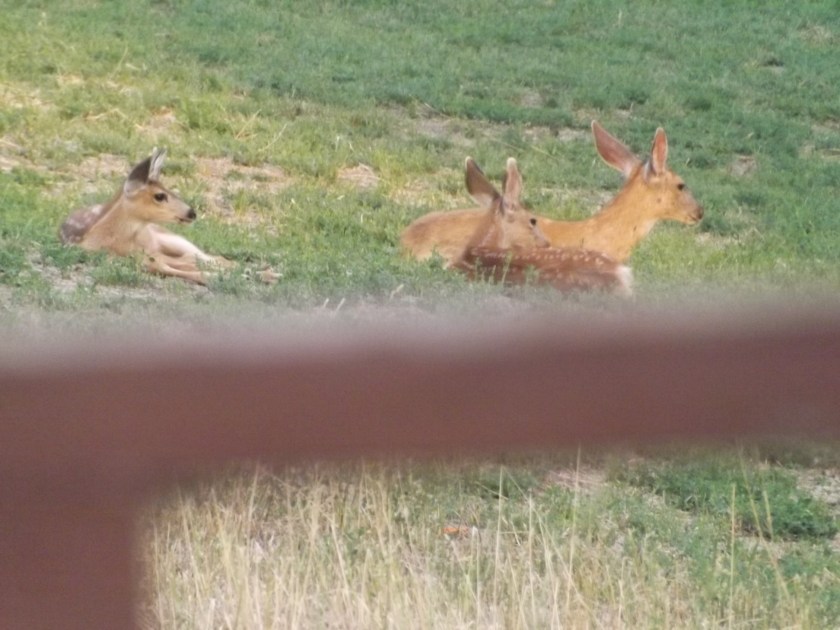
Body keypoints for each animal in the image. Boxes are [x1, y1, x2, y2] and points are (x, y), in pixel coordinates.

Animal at [59, 148, 232, 285]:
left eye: (169, 188)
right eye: (160, 195)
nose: (192, 213)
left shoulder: (150, 254)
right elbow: (172, 268)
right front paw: (214, 276)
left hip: (170, 238)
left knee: (205, 256)